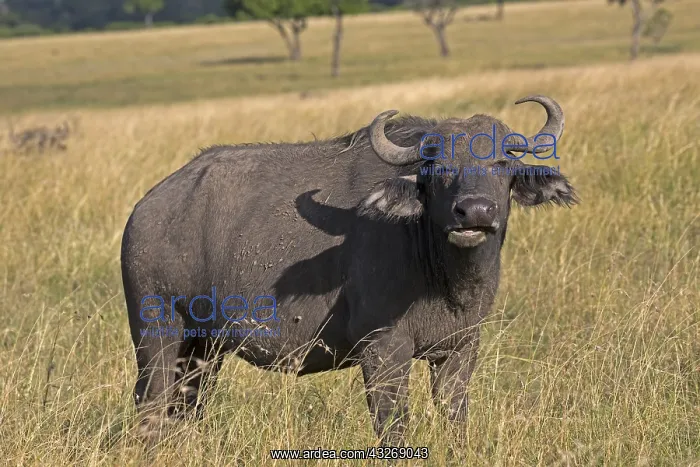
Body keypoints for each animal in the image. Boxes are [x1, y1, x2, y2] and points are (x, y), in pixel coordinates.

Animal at [121, 95, 578, 445]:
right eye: (438, 167)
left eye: (501, 163)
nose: (475, 212)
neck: (443, 278)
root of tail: (146, 208)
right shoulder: (383, 349)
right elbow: (393, 428)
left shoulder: (461, 347)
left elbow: (455, 421)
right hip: (157, 334)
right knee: (150, 405)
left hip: (203, 349)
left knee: (185, 408)